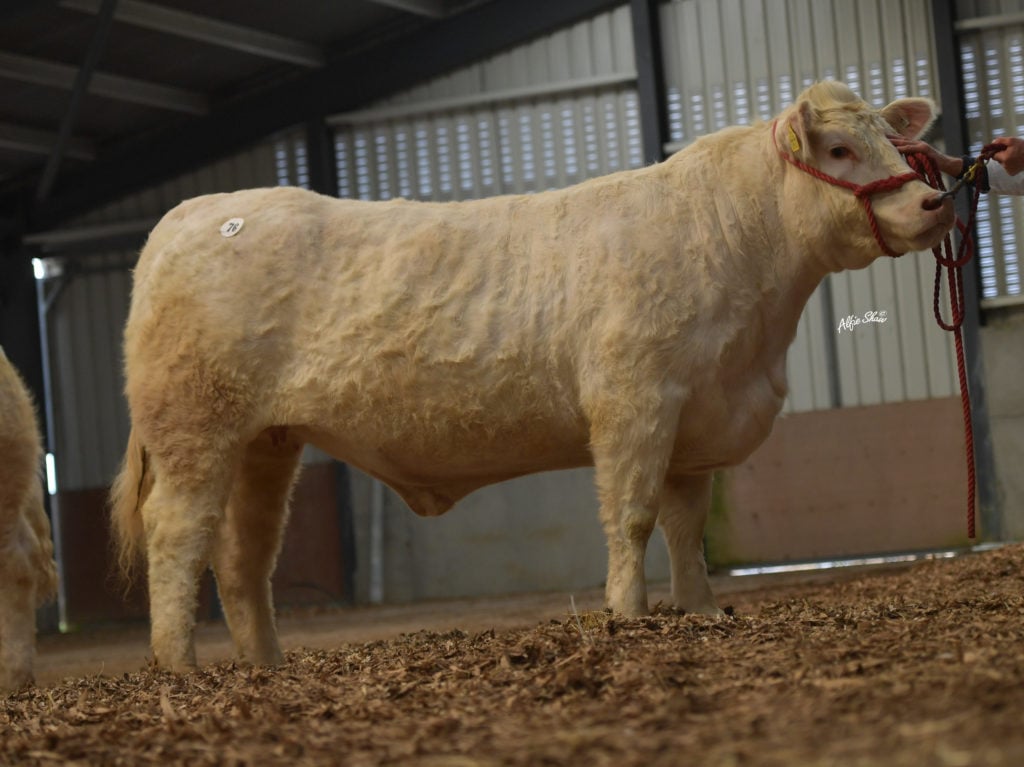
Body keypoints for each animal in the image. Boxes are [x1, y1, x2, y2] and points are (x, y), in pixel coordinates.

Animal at [111, 81, 954, 671]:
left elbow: (686, 527)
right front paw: (628, 615)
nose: (934, 200)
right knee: (179, 534)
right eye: (838, 151)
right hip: (194, 426)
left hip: (266, 440)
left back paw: (266, 665)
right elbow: (633, 515)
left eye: (895, 142)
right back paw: (179, 665)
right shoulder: (633, 400)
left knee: (245, 553)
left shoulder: (697, 421)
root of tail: (194, 213)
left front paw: (701, 611)